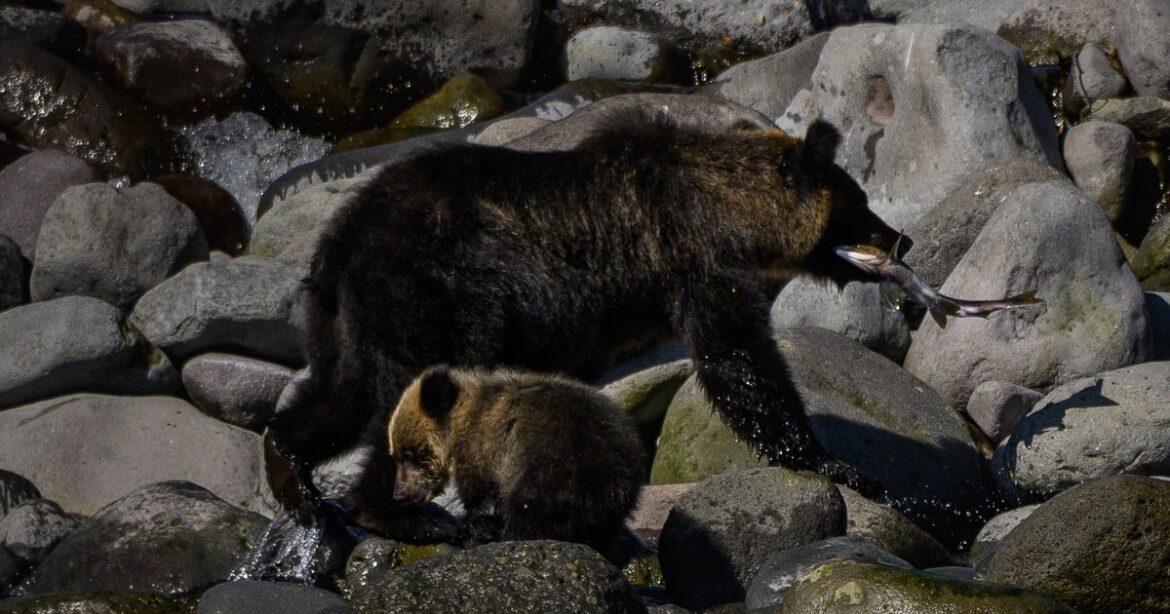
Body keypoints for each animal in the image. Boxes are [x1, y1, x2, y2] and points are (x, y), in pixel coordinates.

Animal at [264, 108, 905, 531]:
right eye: (859, 202)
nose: (901, 237)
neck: (729, 209)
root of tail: (345, 239)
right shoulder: (691, 253)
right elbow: (739, 360)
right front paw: (838, 462)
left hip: (343, 316)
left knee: (339, 393)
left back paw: (292, 473)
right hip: (433, 291)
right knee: (402, 395)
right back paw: (390, 510)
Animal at [376, 365, 645, 561]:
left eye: (409, 455)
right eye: (396, 454)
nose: (400, 494)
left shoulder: (484, 453)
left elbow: (480, 500)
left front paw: (474, 530)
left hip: (551, 468)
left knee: (529, 514)